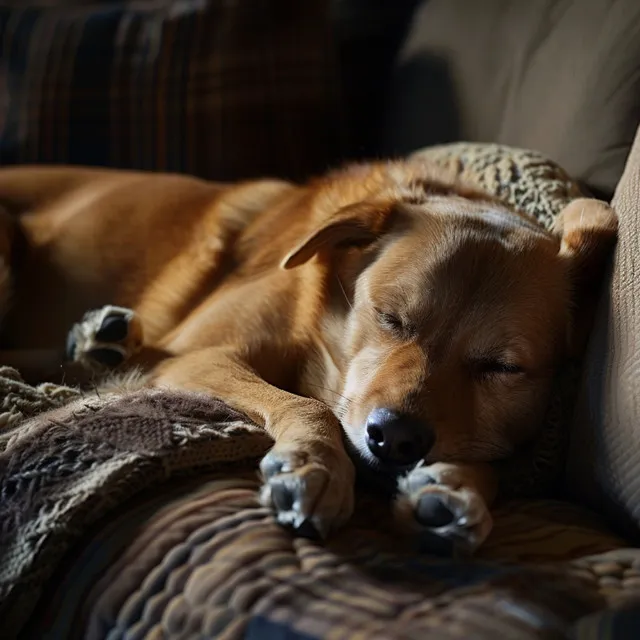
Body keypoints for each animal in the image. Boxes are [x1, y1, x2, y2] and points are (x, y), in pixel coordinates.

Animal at [0, 159, 616, 552]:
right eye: (391, 317)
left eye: (501, 367)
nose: (396, 439)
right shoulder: (195, 356)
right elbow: (310, 406)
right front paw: (314, 466)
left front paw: (458, 488)